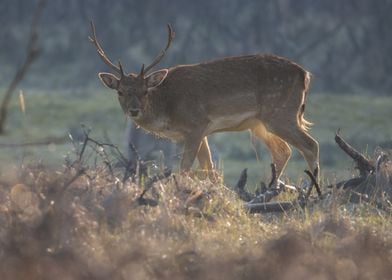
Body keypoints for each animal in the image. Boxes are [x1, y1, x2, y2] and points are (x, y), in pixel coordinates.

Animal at [90, 22, 320, 188]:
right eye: (120, 91)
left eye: (145, 90)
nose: (134, 110)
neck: (168, 109)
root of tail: (305, 75)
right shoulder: (201, 132)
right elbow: (210, 169)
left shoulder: (196, 123)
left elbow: (185, 168)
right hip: (260, 124)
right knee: (283, 151)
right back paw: (268, 190)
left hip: (281, 114)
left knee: (310, 145)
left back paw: (312, 193)